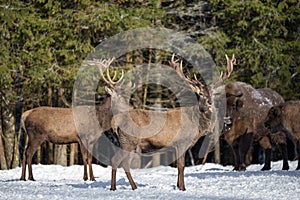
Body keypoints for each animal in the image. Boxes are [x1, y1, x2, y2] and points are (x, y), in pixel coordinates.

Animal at [108, 53, 234, 191]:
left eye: (212, 93)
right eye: (200, 93)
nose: (210, 102)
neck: (197, 126)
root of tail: (115, 121)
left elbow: (179, 167)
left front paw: (179, 186)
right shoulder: (181, 142)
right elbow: (181, 166)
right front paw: (183, 188)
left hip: (129, 142)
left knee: (124, 163)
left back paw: (133, 187)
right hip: (128, 140)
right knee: (116, 160)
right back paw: (114, 188)